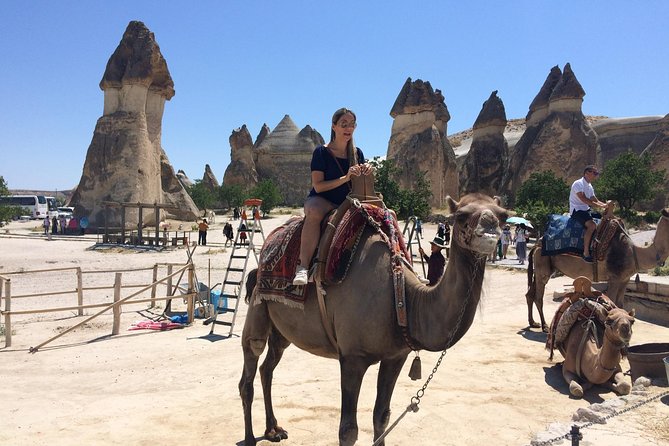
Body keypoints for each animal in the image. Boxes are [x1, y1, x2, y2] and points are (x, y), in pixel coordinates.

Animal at [239, 194, 506, 446]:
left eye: (502, 215)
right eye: (460, 216)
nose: (490, 228)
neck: (401, 297)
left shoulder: (395, 357)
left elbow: (382, 416)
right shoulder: (352, 358)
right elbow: (348, 430)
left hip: (281, 330)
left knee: (267, 367)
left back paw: (273, 430)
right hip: (258, 305)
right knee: (250, 363)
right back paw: (251, 438)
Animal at [528, 209, 668, 332]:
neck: (634, 253)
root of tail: (537, 243)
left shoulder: (625, 279)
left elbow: (620, 304)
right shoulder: (614, 278)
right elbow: (612, 304)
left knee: (530, 294)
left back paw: (533, 323)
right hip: (542, 265)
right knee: (538, 296)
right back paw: (544, 326)